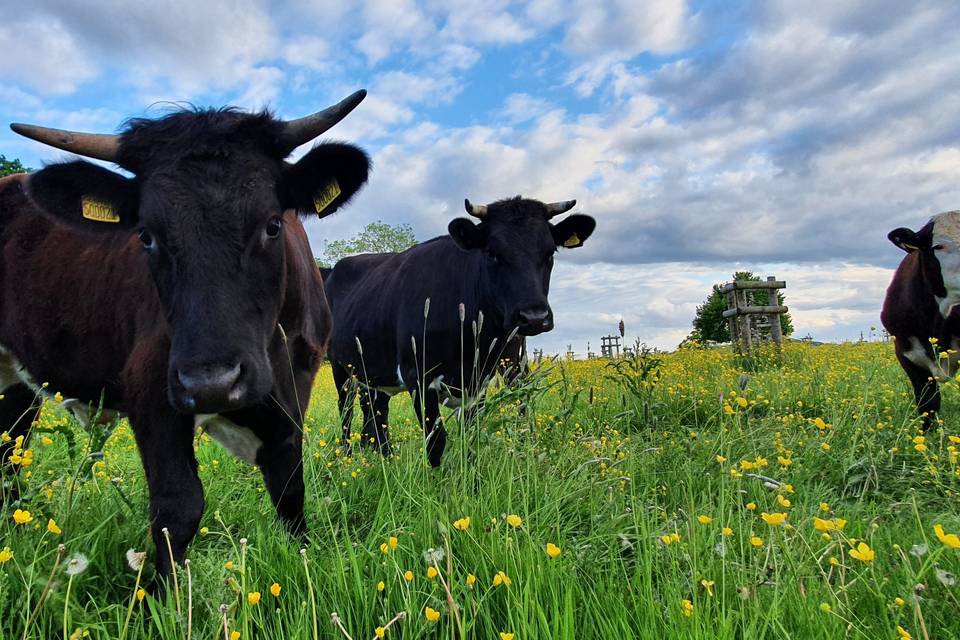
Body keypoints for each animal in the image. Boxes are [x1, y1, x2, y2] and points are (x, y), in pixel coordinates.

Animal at [0, 92, 372, 584]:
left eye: (272, 224)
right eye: (146, 235)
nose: (212, 383)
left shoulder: (298, 388)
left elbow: (290, 489)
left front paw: (303, 561)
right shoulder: (152, 390)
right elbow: (177, 508)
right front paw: (163, 595)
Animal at [322, 195, 592, 464]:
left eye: (550, 252)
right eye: (492, 253)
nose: (534, 317)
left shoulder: (479, 382)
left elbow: (471, 435)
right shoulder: (418, 376)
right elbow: (437, 442)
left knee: (376, 409)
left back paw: (384, 456)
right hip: (340, 368)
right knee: (346, 410)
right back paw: (346, 456)